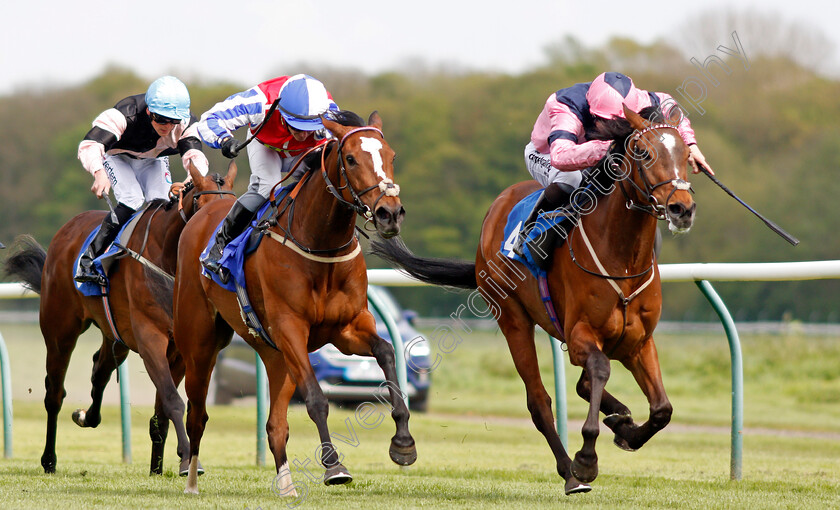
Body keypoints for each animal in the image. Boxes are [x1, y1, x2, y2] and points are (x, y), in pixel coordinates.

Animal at [2, 165, 236, 476]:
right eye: (204, 207)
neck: (168, 257)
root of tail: (67, 229)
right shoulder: (150, 339)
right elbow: (173, 400)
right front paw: (187, 460)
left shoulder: (180, 349)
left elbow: (162, 412)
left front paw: (158, 468)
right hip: (60, 331)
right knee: (54, 393)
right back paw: (49, 459)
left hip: (116, 337)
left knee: (99, 370)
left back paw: (86, 416)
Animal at [173, 110, 414, 494]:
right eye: (350, 159)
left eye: (390, 156)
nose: (389, 213)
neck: (319, 243)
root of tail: (204, 212)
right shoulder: (291, 329)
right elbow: (316, 398)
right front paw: (333, 465)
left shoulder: (347, 328)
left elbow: (387, 352)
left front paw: (403, 442)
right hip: (200, 344)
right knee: (197, 413)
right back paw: (192, 480)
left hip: (275, 356)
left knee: (275, 425)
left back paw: (286, 485)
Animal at [372, 106, 696, 494]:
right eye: (645, 153)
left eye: (687, 155)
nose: (682, 208)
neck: (623, 258)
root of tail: (496, 208)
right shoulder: (580, 335)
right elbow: (600, 370)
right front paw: (586, 459)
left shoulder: (638, 342)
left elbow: (662, 409)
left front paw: (627, 431)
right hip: (513, 320)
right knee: (540, 402)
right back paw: (570, 472)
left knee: (584, 386)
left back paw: (618, 420)